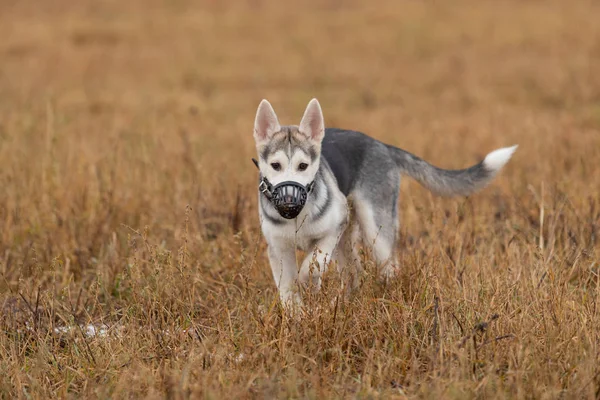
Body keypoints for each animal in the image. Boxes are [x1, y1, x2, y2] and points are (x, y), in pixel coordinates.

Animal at [252, 97, 516, 306]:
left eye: (303, 166)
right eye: (275, 165)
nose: (288, 202)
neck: (297, 218)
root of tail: (381, 145)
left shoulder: (333, 229)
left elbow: (312, 264)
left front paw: (308, 284)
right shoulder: (279, 248)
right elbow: (289, 290)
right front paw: (297, 319)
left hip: (374, 231)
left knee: (388, 268)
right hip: (348, 239)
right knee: (354, 273)